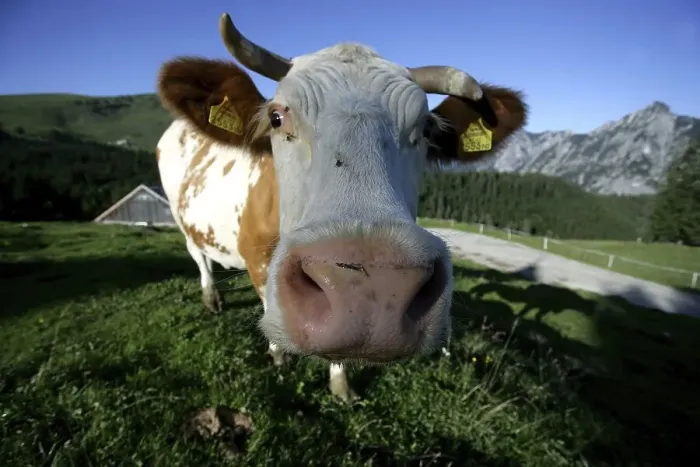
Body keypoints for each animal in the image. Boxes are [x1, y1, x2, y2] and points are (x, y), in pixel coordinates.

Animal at [156, 12, 528, 402]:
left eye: (426, 129)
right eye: (276, 117)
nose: (372, 289)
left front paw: (341, 384)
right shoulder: (255, 256)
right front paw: (279, 355)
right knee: (198, 255)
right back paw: (212, 298)